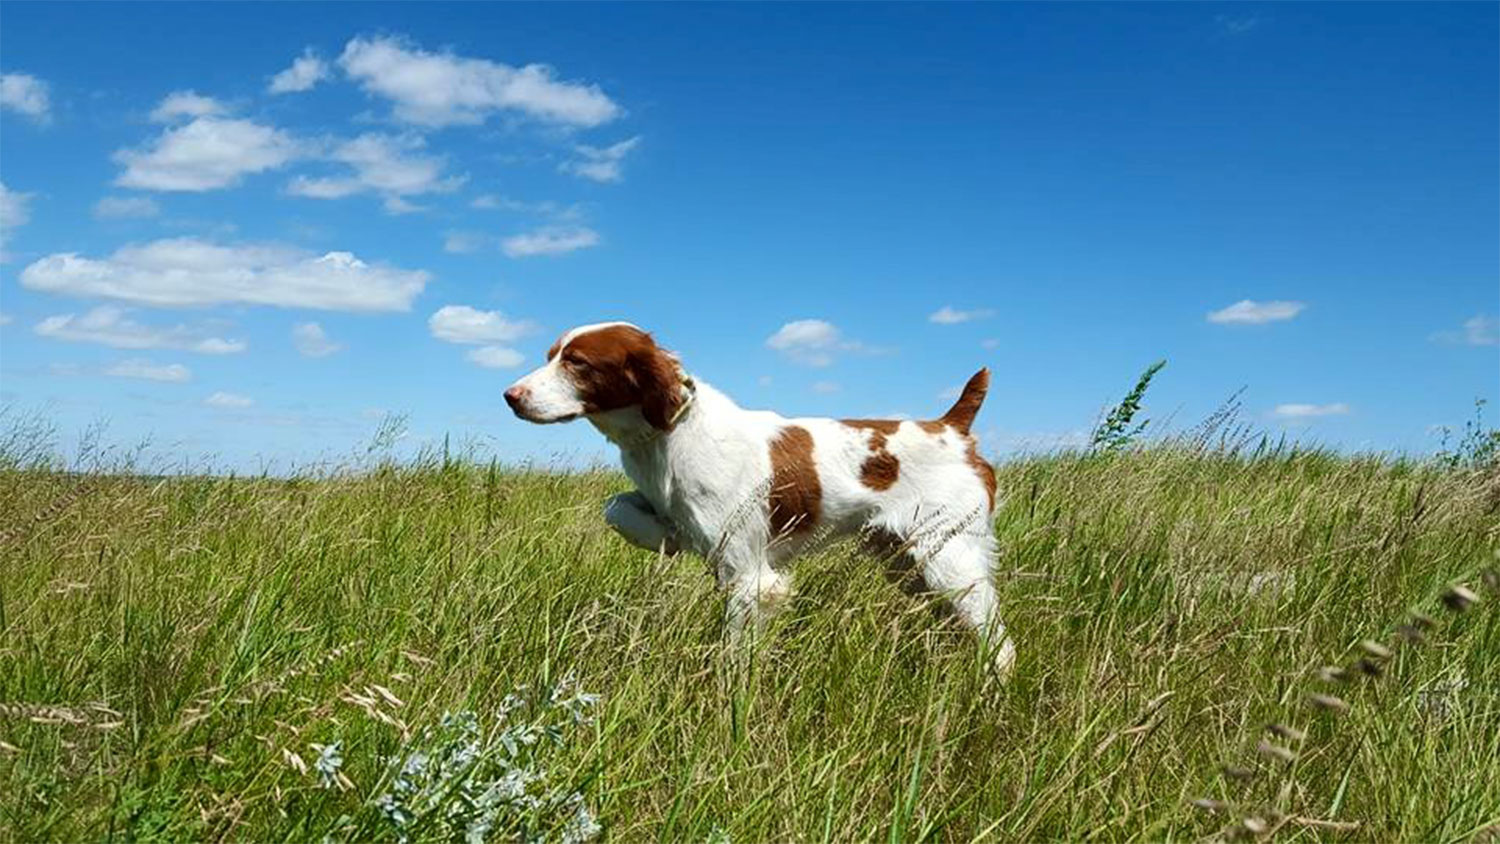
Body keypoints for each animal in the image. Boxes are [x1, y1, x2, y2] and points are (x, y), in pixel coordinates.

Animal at [507, 320, 1020, 677]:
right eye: (552, 355)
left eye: (577, 363)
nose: (510, 396)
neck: (670, 437)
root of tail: (952, 426)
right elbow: (615, 507)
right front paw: (664, 536)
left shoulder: (751, 576)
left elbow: (735, 654)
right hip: (908, 562)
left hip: (949, 558)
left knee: (1002, 645)